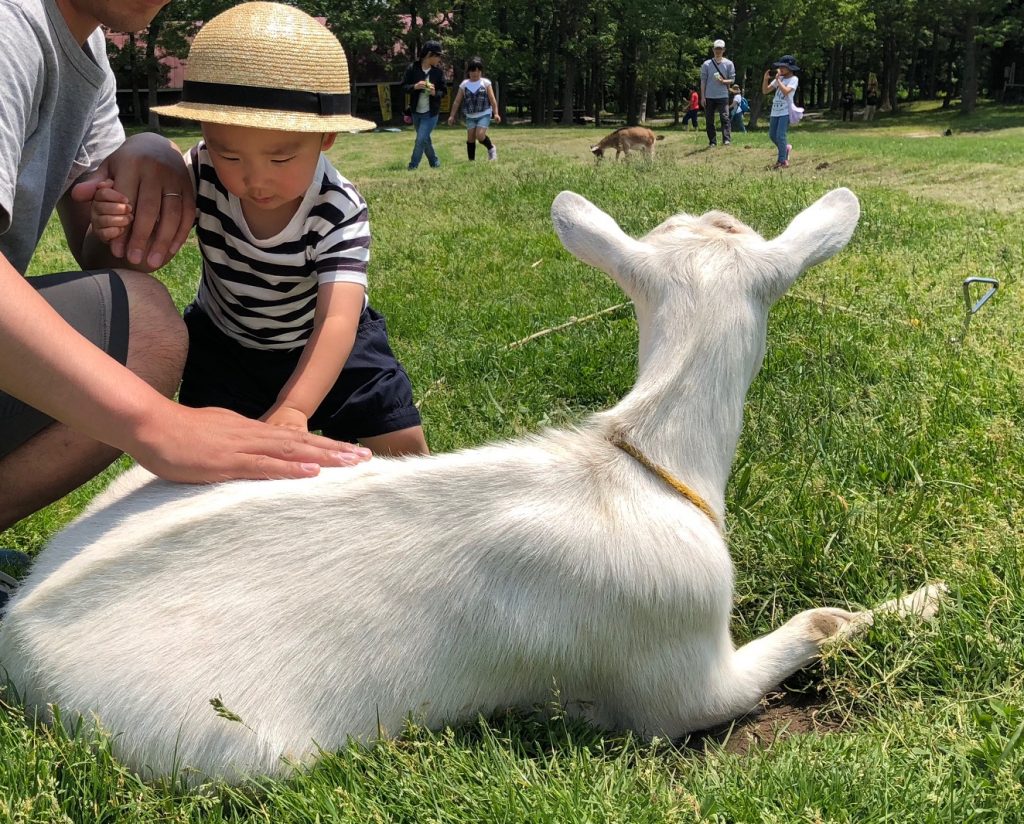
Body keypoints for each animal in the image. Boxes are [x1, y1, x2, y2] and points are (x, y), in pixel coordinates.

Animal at [0, 187, 942, 785]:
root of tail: (20, 630)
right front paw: (929, 598)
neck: (638, 459)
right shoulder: (677, 679)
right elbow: (816, 624)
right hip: (219, 747)